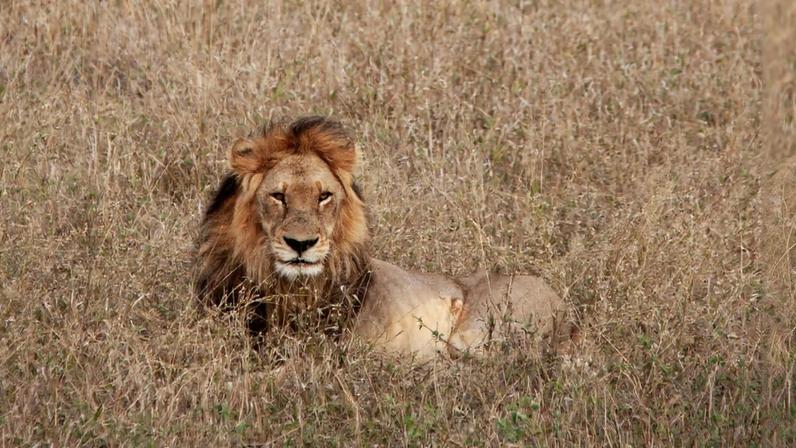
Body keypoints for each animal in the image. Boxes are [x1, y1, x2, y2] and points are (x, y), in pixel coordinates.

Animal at [194, 116, 567, 359]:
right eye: (278, 196)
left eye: (323, 196)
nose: (301, 244)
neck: (288, 286)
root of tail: (566, 307)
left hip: (475, 330)